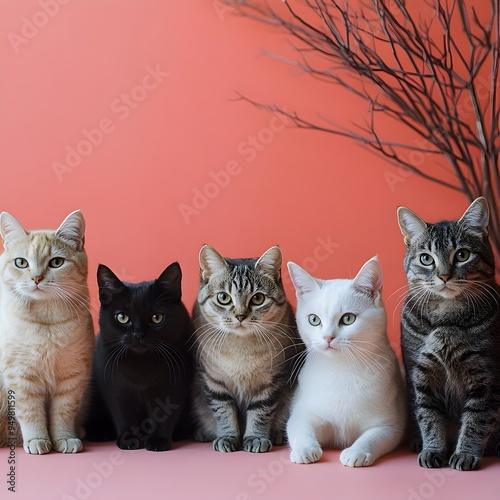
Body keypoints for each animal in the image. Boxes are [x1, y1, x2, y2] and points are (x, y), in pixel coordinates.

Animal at [0, 210, 94, 454]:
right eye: (21, 263)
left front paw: (65, 438)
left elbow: (64, 411)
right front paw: (37, 439)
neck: (47, 324)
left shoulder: (72, 377)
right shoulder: (21, 378)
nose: (36, 278)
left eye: (57, 262)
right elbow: (30, 412)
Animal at [83, 264, 192, 452]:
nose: (139, 334)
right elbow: (122, 413)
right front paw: (128, 440)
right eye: (122, 317)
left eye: (156, 317)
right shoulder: (116, 386)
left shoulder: (175, 385)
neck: (142, 363)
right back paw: (100, 433)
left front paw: (158, 440)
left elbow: (163, 414)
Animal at [190, 245, 300, 454]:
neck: (240, 349)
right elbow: (224, 413)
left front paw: (256, 438)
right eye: (223, 298)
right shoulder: (213, 381)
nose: (240, 316)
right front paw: (227, 437)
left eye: (257, 298)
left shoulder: (271, 382)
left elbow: (260, 413)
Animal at [286, 256, 406, 466]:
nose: (328, 337)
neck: (341, 368)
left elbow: (373, 437)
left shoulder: (390, 425)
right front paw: (305, 449)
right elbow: (299, 428)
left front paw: (357, 452)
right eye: (314, 320)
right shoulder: (302, 414)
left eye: (348, 318)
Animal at [398, 197, 500, 470]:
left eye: (462, 255)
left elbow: (477, 419)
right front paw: (433, 449)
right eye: (426, 259)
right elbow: (428, 416)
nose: (444, 276)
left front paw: (466, 453)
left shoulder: (486, 377)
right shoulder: (420, 374)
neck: (446, 320)